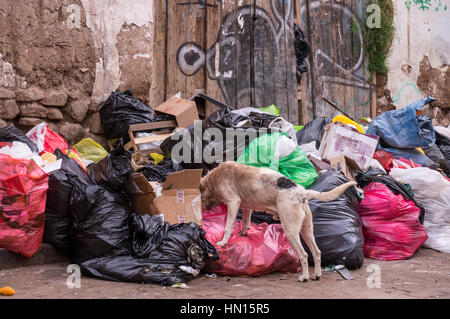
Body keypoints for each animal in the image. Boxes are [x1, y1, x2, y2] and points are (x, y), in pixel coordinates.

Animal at [200, 162, 358, 282]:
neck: (216, 177)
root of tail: (302, 192)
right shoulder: (246, 207)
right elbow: (245, 222)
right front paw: (243, 234)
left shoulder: (233, 202)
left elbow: (228, 226)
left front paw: (223, 242)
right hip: (306, 231)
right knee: (316, 252)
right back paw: (317, 275)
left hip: (291, 232)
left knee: (304, 255)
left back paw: (304, 277)